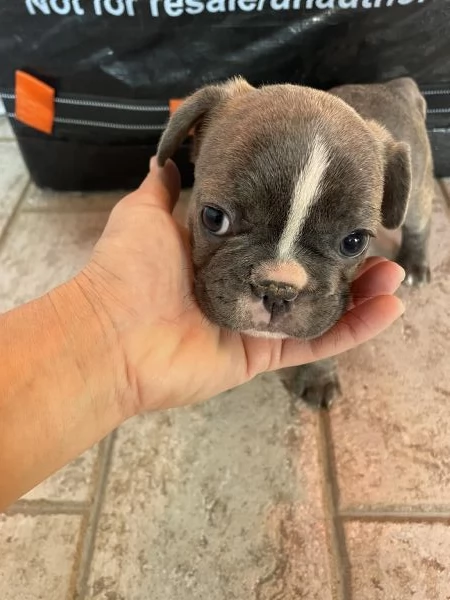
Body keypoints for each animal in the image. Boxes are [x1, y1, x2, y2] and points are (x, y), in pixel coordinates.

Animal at [156, 76, 434, 408]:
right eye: (214, 217)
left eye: (353, 242)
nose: (278, 290)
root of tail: (396, 85)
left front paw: (318, 377)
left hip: (416, 193)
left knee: (420, 222)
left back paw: (415, 264)